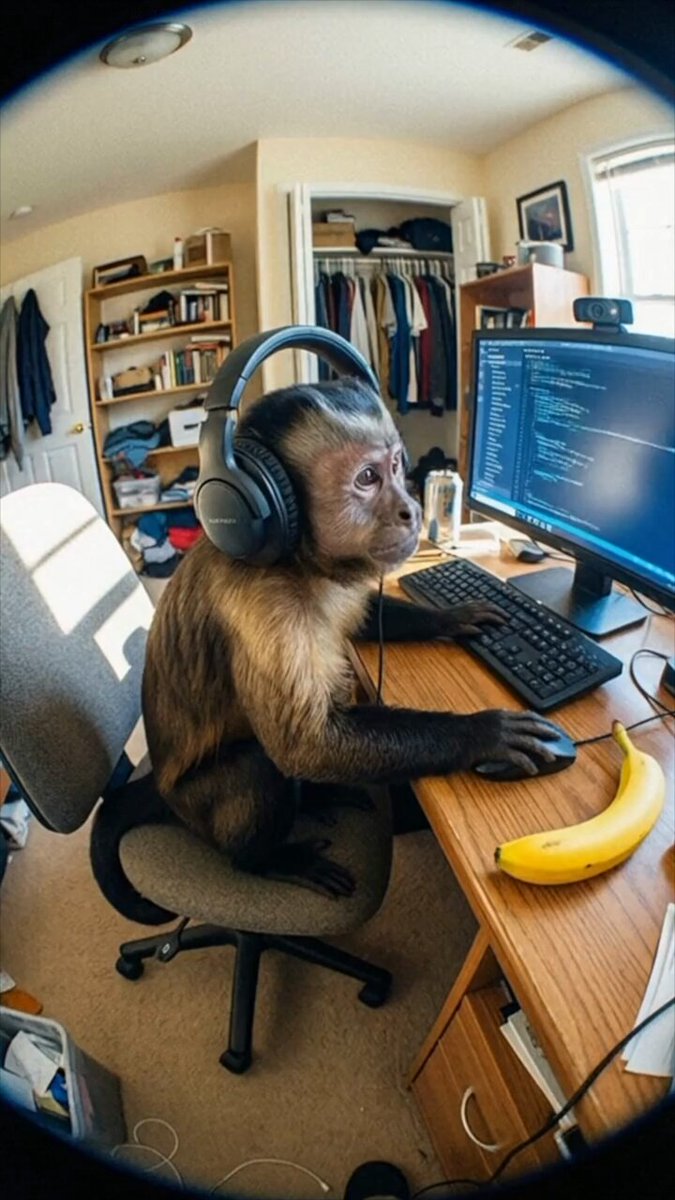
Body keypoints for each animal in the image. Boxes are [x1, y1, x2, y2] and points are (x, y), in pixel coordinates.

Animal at [122, 374, 564, 905]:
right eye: (367, 478)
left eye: (395, 465)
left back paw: (321, 794)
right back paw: (267, 859)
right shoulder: (262, 603)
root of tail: (161, 793)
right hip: (194, 808)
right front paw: (484, 734)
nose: (412, 509)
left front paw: (454, 616)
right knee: (258, 764)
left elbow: (362, 618)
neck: (295, 557)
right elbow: (306, 745)